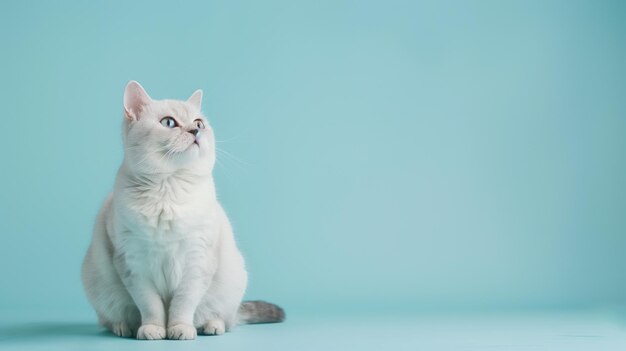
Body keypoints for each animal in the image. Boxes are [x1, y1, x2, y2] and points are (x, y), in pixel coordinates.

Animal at [80, 81, 282, 340]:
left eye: (199, 123)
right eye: (169, 123)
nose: (195, 131)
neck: (168, 188)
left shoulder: (196, 261)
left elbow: (182, 304)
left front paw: (179, 330)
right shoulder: (134, 264)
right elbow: (151, 306)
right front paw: (154, 330)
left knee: (224, 319)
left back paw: (211, 327)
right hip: (100, 285)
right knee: (111, 319)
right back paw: (125, 328)